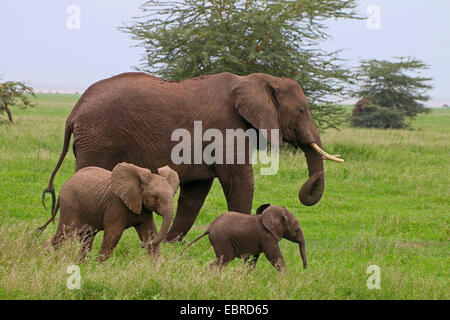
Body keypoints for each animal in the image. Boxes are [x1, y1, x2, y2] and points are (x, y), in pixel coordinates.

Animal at [38, 162, 179, 262]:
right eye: (155, 197)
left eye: (173, 194)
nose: (141, 246)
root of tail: (63, 187)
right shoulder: (116, 204)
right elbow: (113, 234)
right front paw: (98, 265)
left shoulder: (143, 207)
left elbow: (150, 233)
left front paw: (159, 265)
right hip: (71, 206)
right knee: (65, 233)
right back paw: (44, 257)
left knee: (86, 236)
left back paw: (81, 263)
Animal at [43, 72, 344, 242]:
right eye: (302, 110)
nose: (308, 184)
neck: (253, 80)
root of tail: (74, 111)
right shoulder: (226, 128)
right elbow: (238, 181)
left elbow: (196, 193)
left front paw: (170, 247)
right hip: (98, 140)